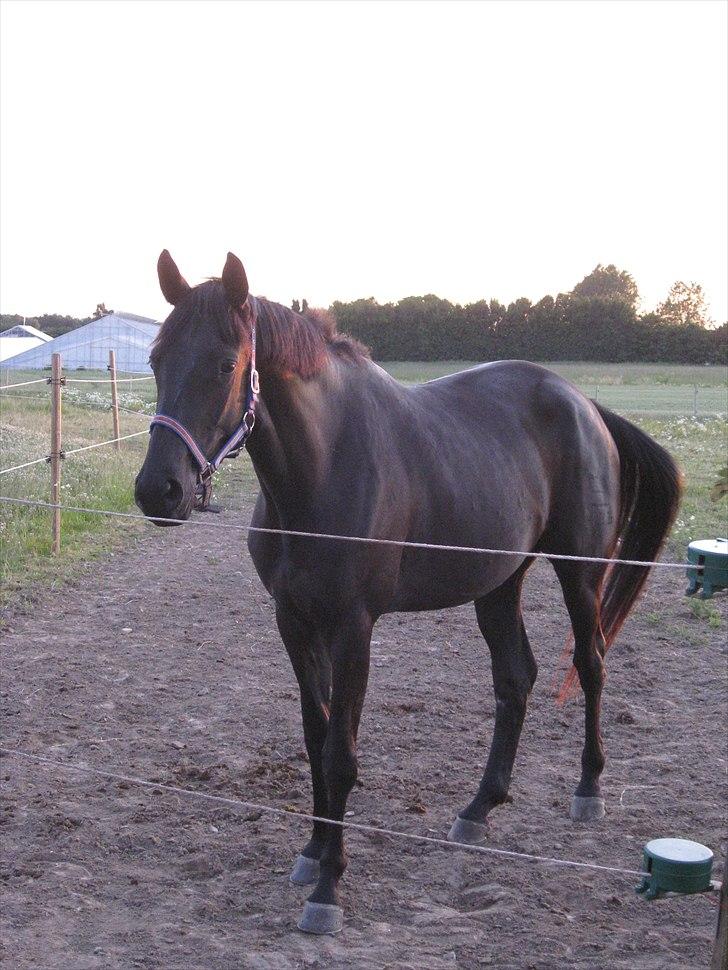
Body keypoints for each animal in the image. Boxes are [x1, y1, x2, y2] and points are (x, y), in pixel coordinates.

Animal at [135, 253, 684, 932]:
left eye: (224, 363)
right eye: (156, 359)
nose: (158, 490)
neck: (322, 469)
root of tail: (586, 405)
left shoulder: (353, 627)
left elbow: (340, 752)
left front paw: (329, 889)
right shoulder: (295, 621)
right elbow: (315, 738)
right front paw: (312, 852)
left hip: (579, 574)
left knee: (591, 663)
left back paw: (588, 791)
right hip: (499, 582)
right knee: (516, 678)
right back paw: (479, 808)